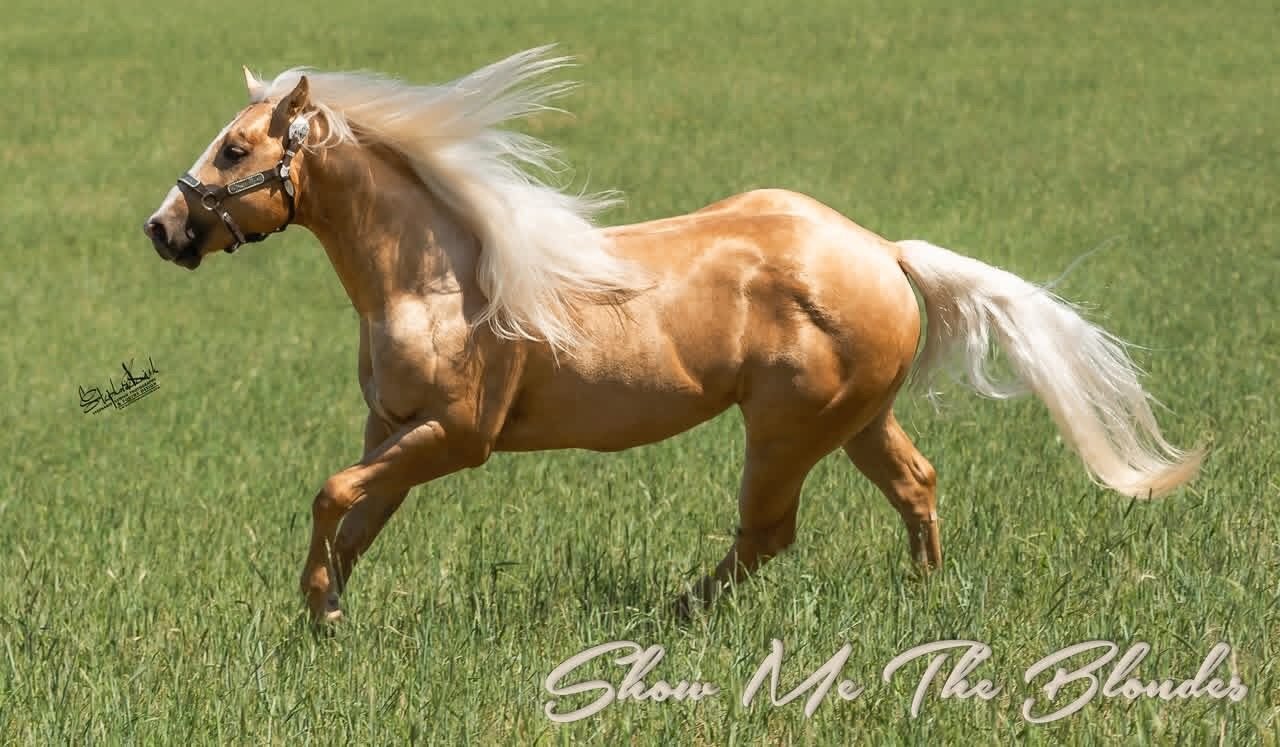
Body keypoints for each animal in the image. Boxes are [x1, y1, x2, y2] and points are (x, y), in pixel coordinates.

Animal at [143, 46, 1205, 625]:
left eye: (234, 148)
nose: (162, 228)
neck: (434, 278)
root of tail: (883, 252)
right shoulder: (393, 430)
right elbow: (354, 516)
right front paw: (323, 617)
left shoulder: (457, 438)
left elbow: (331, 495)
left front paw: (321, 613)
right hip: (855, 421)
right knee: (916, 484)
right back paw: (923, 603)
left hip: (785, 430)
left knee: (770, 532)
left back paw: (678, 612)